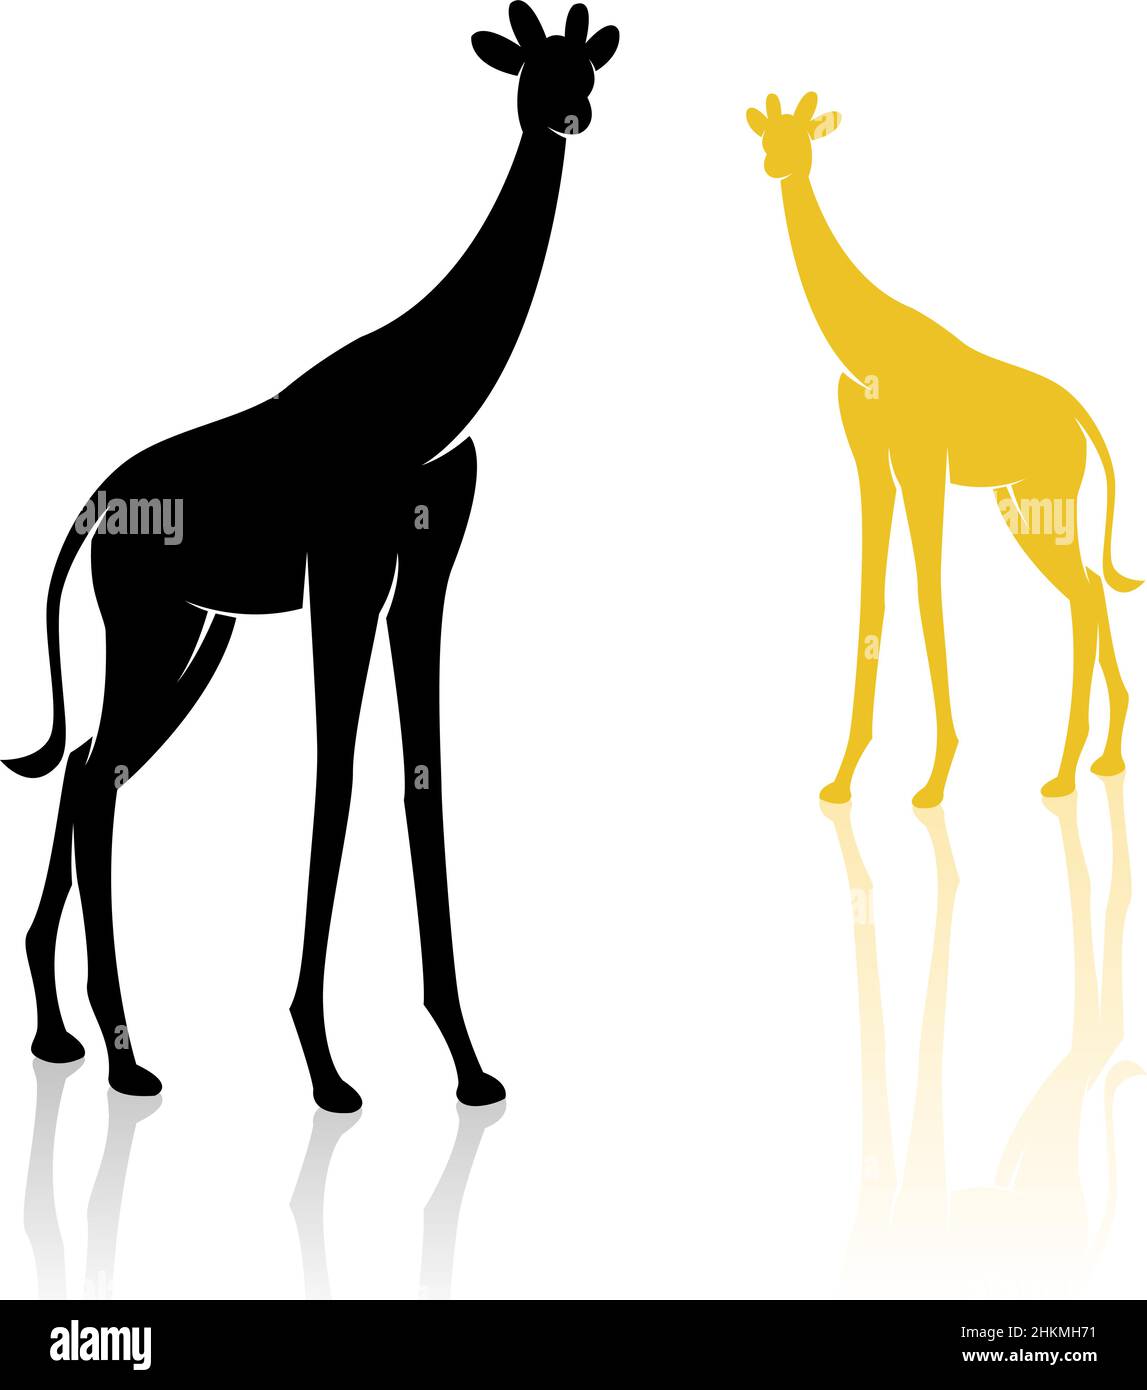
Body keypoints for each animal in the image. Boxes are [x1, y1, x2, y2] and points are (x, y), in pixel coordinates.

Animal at [5, 3, 620, 1112]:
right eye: (530, 67)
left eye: (585, 66)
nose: (573, 116)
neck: (425, 392)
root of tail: (93, 508)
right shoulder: (344, 572)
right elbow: (335, 780)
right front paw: (326, 1067)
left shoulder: (425, 566)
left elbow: (420, 775)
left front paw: (468, 1064)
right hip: (150, 622)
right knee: (97, 777)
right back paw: (124, 1056)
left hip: (196, 629)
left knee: (87, 769)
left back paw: (59, 1033)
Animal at [747, 93, 1140, 807]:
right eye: (768, 135)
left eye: (805, 135)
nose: (774, 165)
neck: (865, 345)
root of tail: (1078, 413)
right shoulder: (871, 463)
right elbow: (874, 593)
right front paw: (843, 778)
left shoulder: (923, 463)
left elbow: (928, 595)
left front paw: (934, 779)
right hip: (1021, 503)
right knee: (1091, 589)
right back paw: (1103, 758)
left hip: (1044, 496)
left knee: (1084, 594)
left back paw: (1065, 771)